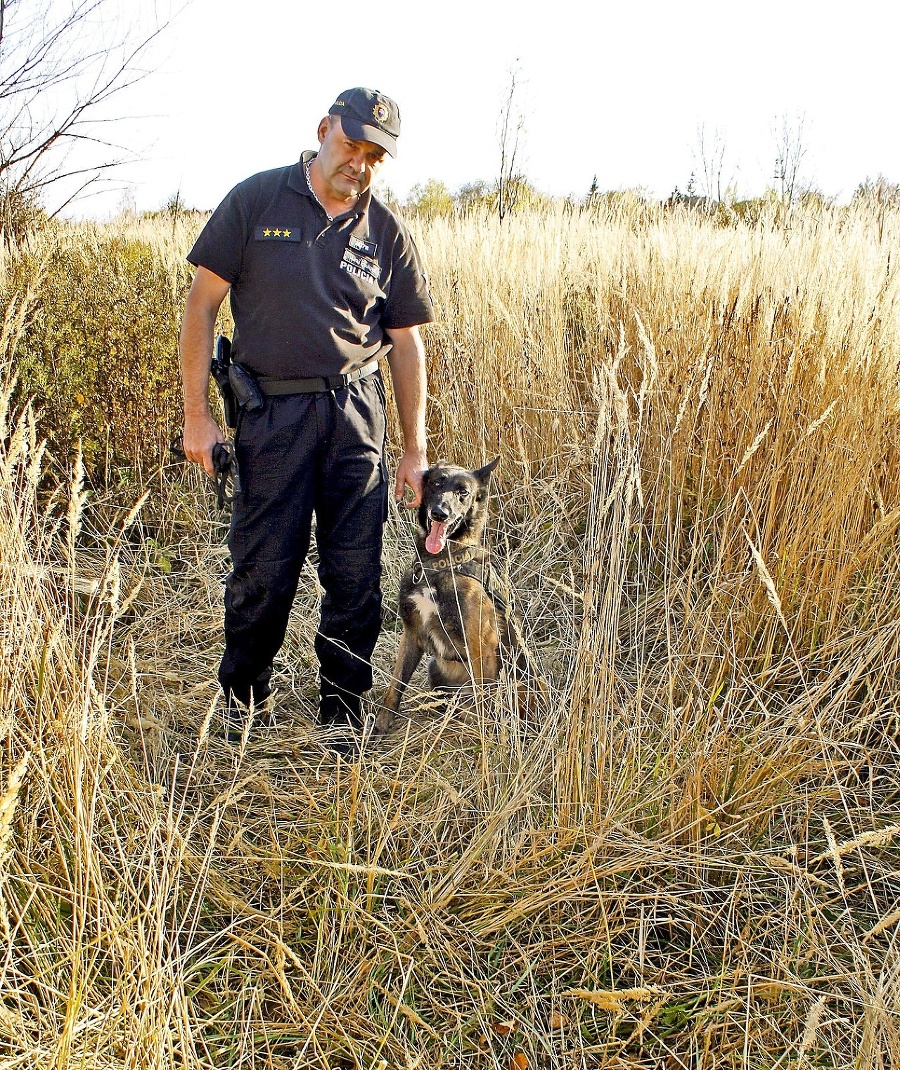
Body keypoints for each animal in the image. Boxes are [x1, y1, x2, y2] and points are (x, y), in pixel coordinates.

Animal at [374, 455, 532, 731]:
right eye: (437, 483)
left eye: (463, 492)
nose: (440, 513)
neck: (440, 564)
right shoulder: (411, 633)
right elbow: (394, 688)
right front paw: (379, 729)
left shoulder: (480, 647)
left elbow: (481, 700)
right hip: (434, 668)